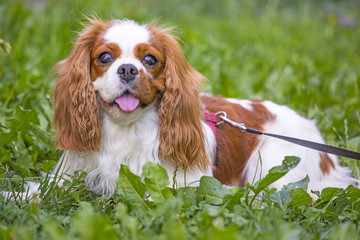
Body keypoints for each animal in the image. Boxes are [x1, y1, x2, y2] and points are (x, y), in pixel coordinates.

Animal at [45, 17, 358, 199]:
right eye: (105, 57)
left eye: (150, 60)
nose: (127, 69)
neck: (124, 129)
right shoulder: (68, 175)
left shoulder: (181, 185)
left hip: (275, 163)